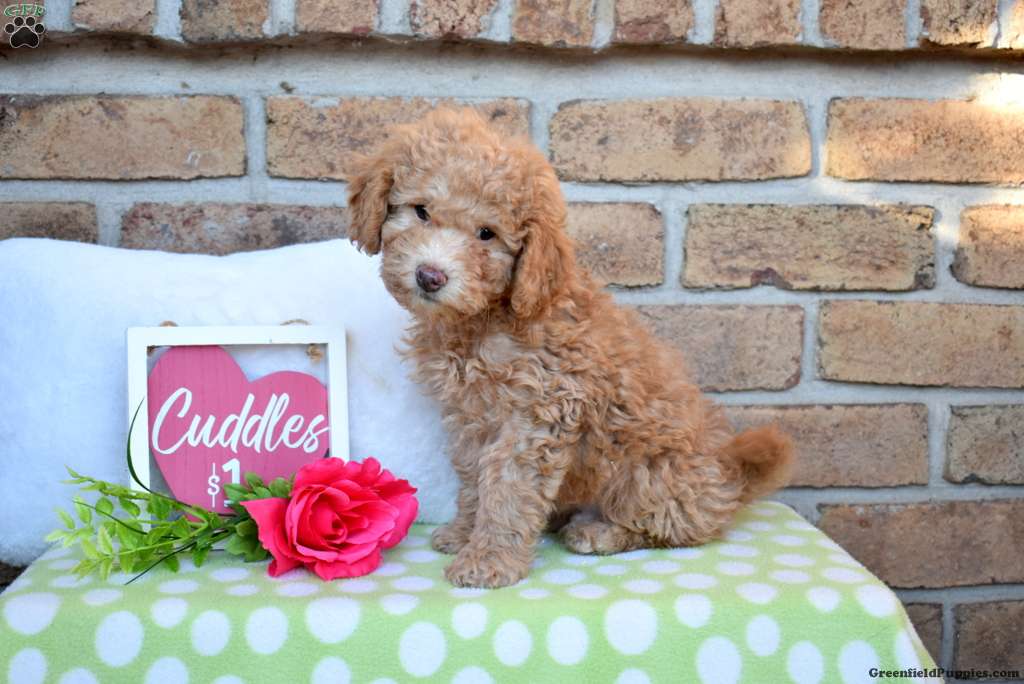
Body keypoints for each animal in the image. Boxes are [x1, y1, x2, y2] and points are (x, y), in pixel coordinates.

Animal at [346, 108, 794, 588]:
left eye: (487, 234)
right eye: (421, 211)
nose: (430, 276)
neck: (485, 320)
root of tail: (727, 478)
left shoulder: (539, 414)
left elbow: (507, 487)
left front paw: (488, 560)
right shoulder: (471, 419)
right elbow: (474, 479)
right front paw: (464, 532)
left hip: (650, 475)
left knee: (673, 527)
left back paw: (597, 532)